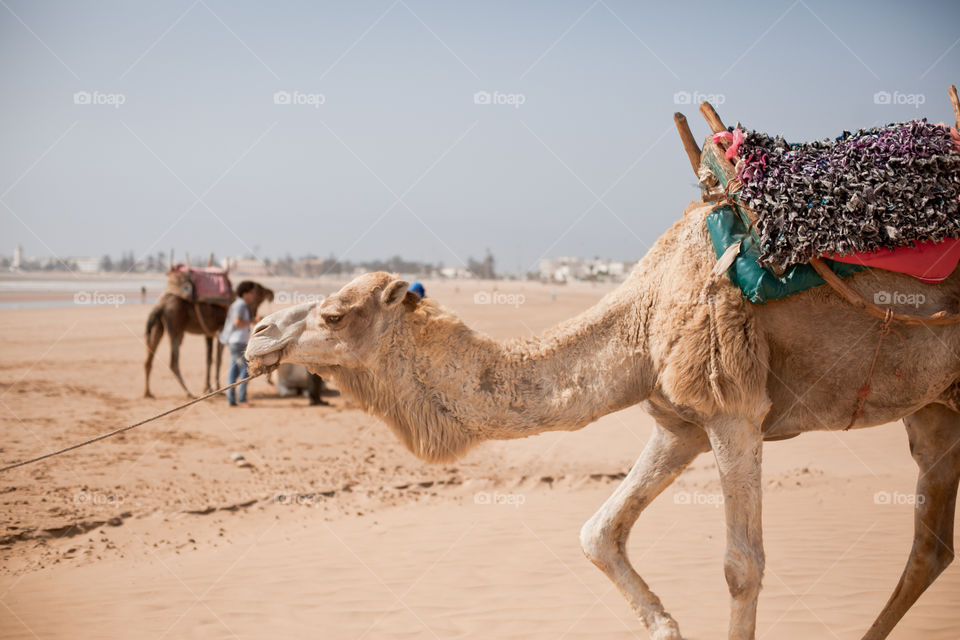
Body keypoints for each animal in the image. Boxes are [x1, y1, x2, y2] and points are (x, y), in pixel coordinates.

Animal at [145, 276, 274, 400]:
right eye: (259, 288)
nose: (271, 293)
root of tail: (161, 304)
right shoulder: (221, 330)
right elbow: (218, 359)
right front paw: (218, 389)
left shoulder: (209, 333)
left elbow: (209, 359)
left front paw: (208, 388)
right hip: (176, 325)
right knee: (173, 362)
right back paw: (189, 393)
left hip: (159, 326)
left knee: (149, 357)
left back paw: (148, 393)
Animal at [246, 206, 960, 640]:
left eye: (334, 314)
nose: (257, 334)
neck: (640, 317)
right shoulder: (680, 424)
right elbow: (598, 533)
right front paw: (664, 624)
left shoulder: (732, 409)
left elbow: (742, 565)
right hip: (937, 407)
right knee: (930, 547)